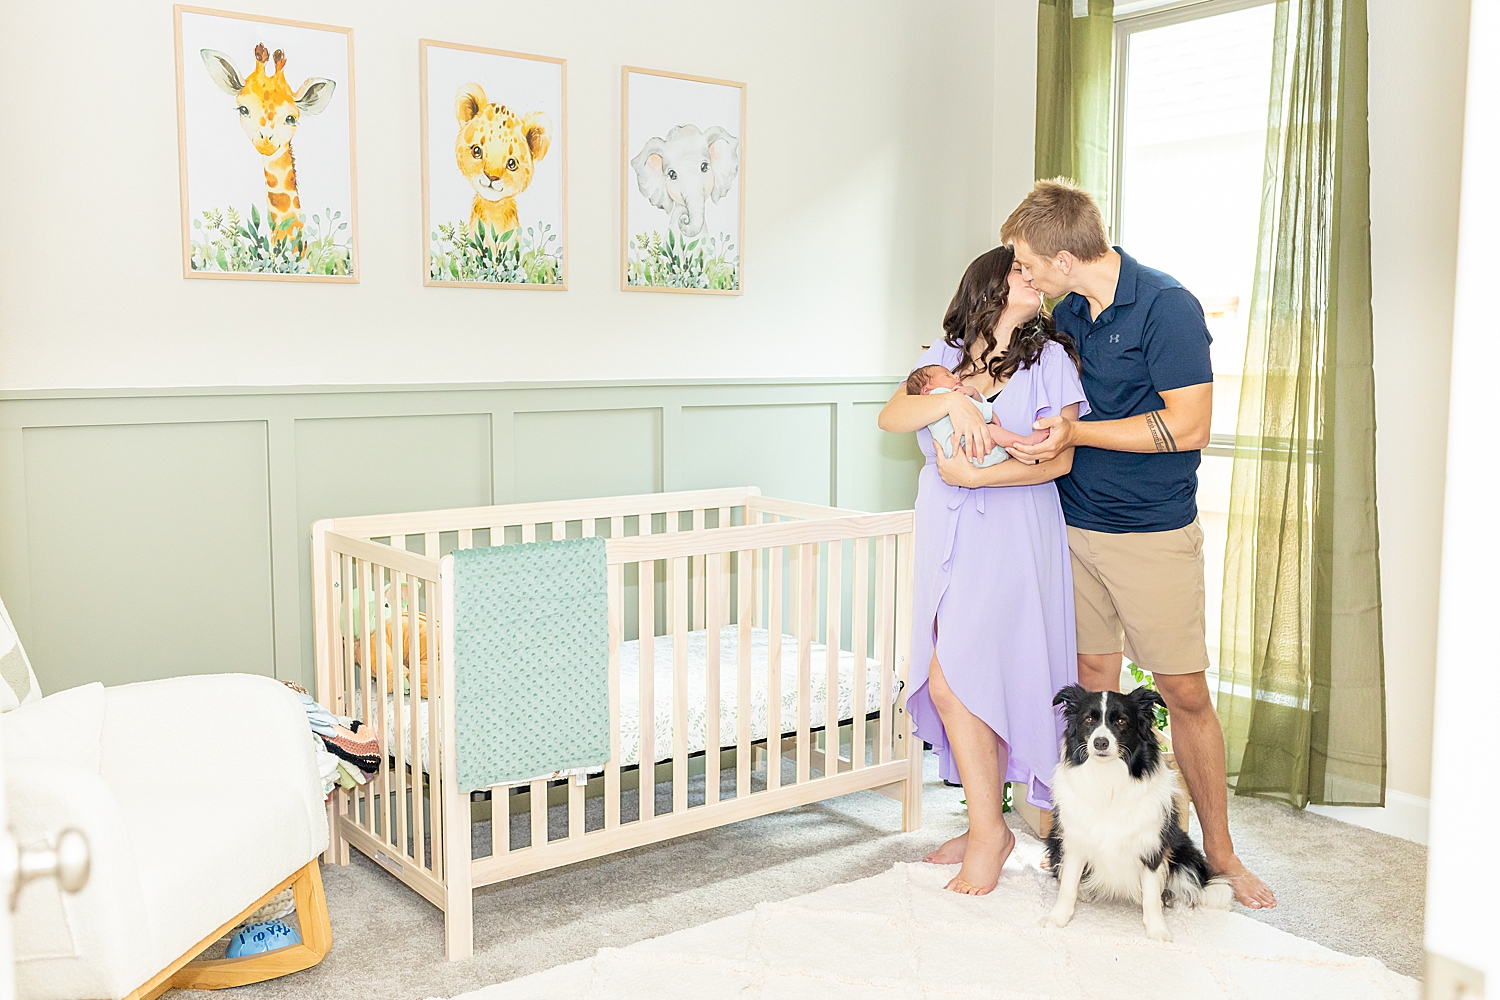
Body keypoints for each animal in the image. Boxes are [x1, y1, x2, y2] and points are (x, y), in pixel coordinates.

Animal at [1044, 683, 1230, 941]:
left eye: (1122, 721)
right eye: (1089, 719)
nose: (1100, 742)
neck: (1108, 777)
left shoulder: (1152, 847)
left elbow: (1151, 896)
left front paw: (1158, 930)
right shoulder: (1075, 842)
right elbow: (1068, 885)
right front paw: (1058, 918)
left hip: (1184, 850)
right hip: (1054, 840)